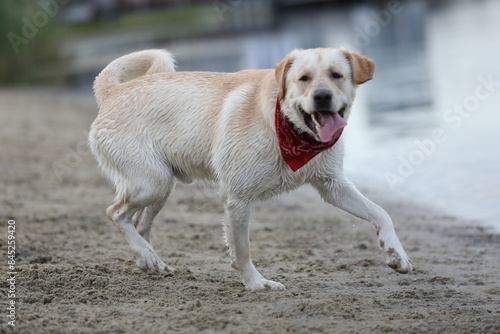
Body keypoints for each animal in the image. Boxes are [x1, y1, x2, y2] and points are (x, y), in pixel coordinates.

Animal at [88, 47, 412, 290]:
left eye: (336, 75)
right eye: (303, 78)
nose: (322, 96)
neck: (290, 127)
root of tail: (112, 92)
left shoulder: (333, 185)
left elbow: (381, 213)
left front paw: (396, 254)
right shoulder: (238, 199)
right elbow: (242, 250)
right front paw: (256, 283)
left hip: (162, 185)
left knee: (140, 223)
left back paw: (150, 260)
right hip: (151, 183)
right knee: (115, 213)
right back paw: (144, 253)